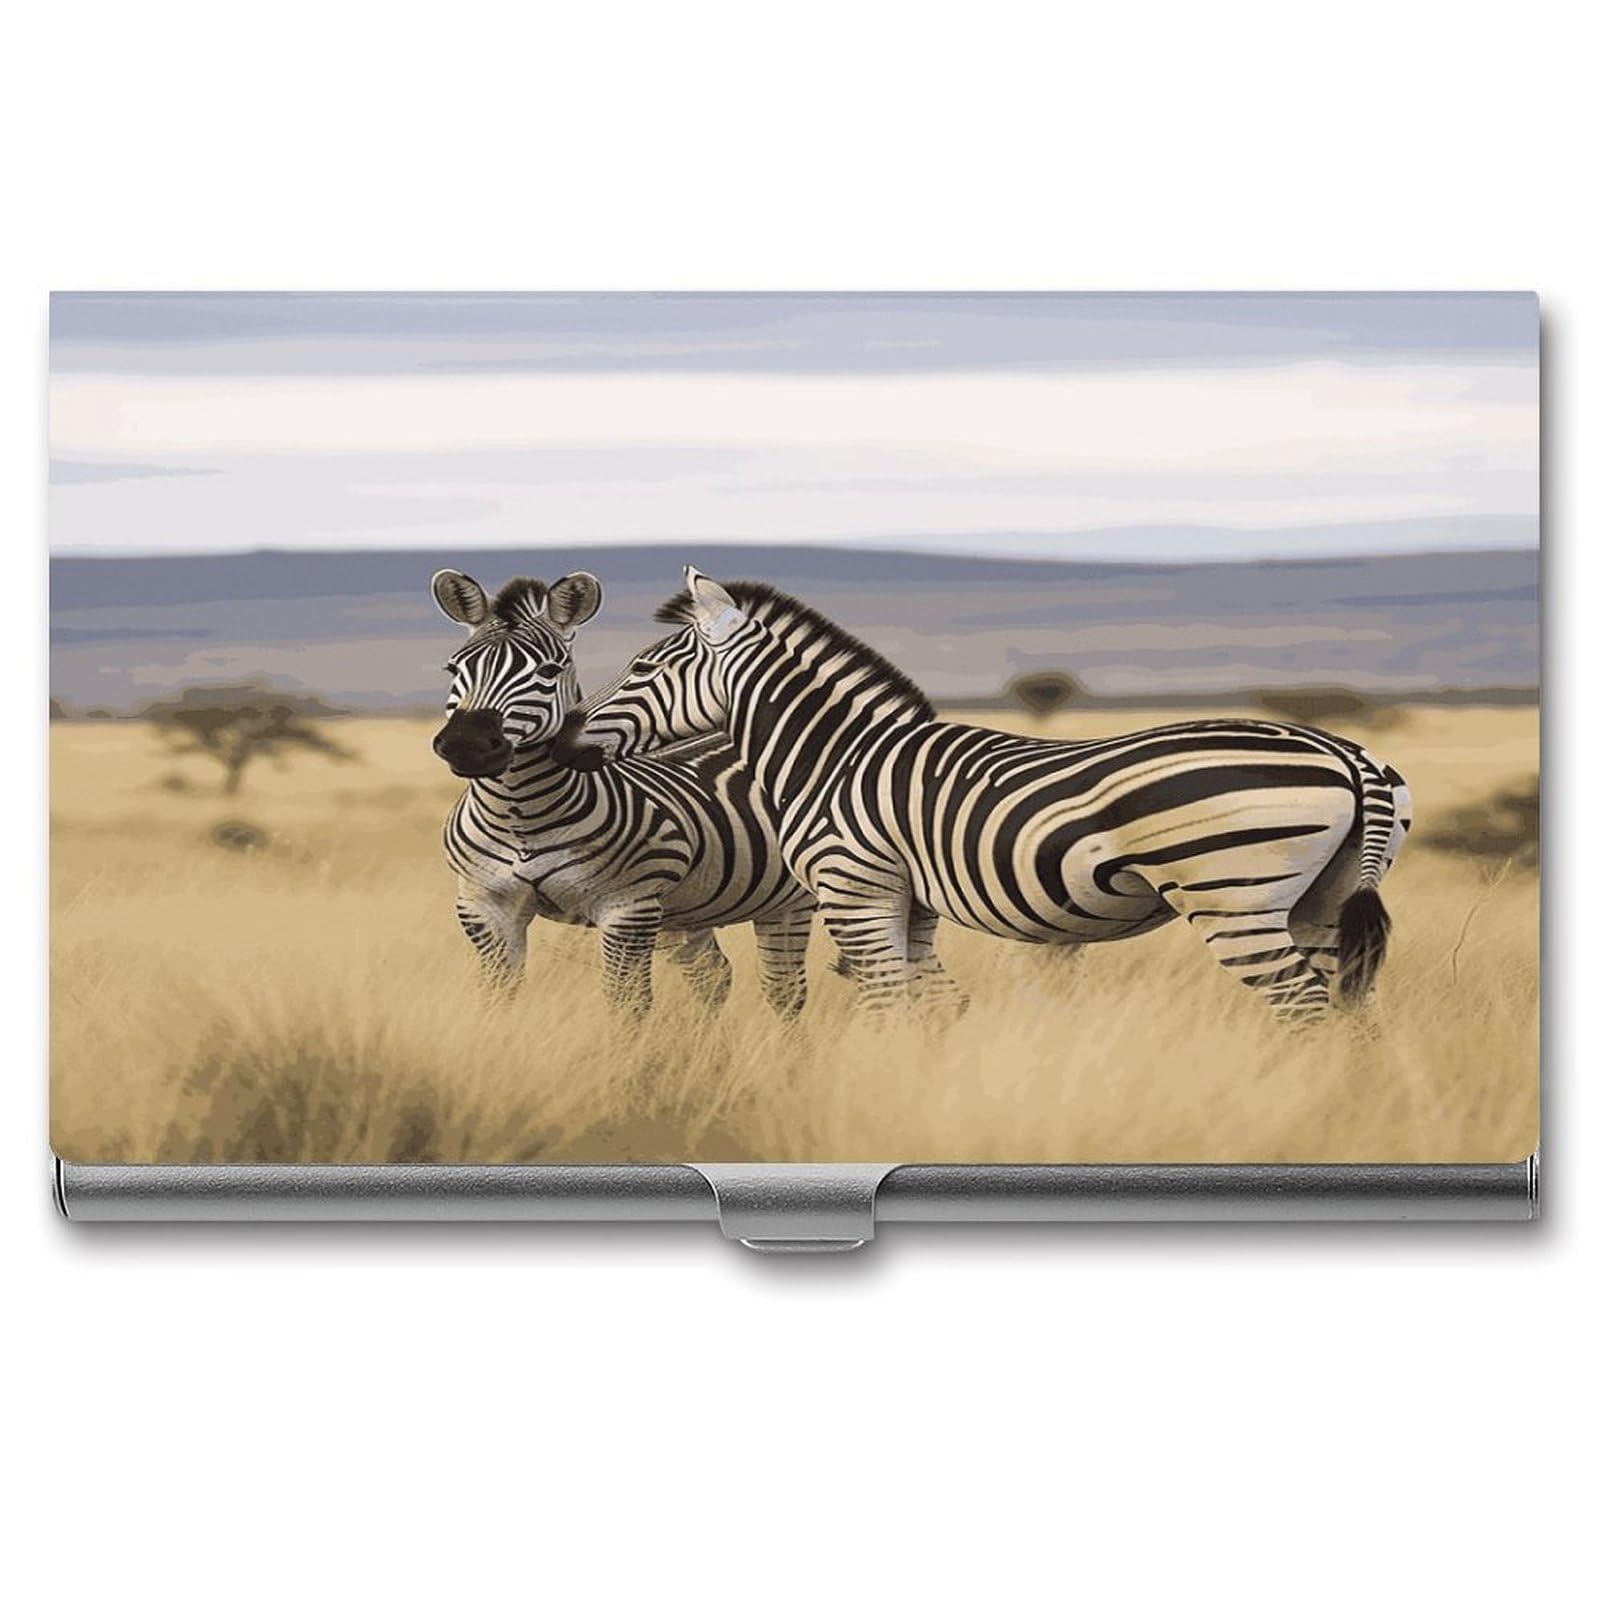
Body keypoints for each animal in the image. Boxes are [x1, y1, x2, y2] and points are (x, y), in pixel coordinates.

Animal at [429, 568, 816, 1017]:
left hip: (787, 904)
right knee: (713, 976)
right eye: (453, 668)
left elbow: (628, 1004)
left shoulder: (628, 909)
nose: (467, 745)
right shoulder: (483, 907)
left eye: (548, 671)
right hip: (687, 912)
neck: (519, 814)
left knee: (785, 991)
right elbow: (497, 997)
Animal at [554, 567, 1413, 1021]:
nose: (566, 739)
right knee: (1350, 1014)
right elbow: (934, 1008)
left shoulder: (856, 892)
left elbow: (887, 1010)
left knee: (1306, 1010)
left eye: (640, 669)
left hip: (1233, 897)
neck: (833, 758)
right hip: (1319, 903)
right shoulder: (912, 904)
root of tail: (1345, 751)